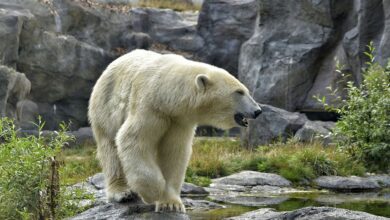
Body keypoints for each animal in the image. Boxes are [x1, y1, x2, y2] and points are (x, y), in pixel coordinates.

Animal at [88, 49, 262, 211]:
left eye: (245, 90)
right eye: (239, 92)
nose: (258, 111)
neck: (166, 94)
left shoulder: (179, 120)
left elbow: (174, 152)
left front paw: (171, 204)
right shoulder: (150, 107)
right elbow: (133, 140)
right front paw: (152, 192)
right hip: (105, 107)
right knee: (110, 150)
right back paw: (122, 192)